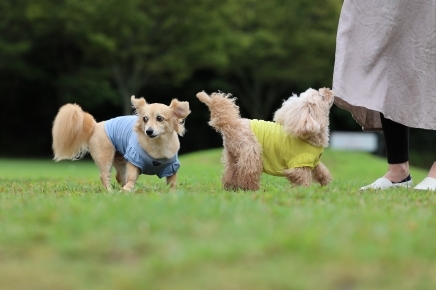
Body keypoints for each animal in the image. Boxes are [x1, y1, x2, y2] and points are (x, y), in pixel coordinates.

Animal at [51, 96, 191, 191]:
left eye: (159, 118)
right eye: (145, 119)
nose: (148, 131)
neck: (157, 145)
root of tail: (96, 126)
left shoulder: (172, 167)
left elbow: (172, 183)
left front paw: (172, 194)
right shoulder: (134, 160)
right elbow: (132, 177)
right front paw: (127, 189)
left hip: (121, 160)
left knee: (119, 176)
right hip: (106, 157)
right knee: (104, 176)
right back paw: (110, 192)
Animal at [197, 88, 334, 190]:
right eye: (322, 97)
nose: (329, 89)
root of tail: (231, 123)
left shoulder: (312, 160)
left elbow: (321, 171)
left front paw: (326, 183)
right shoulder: (299, 162)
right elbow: (302, 178)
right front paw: (304, 191)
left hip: (233, 156)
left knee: (230, 173)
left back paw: (231, 187)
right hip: (252, 152)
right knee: (247, 174)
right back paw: (251, 189)